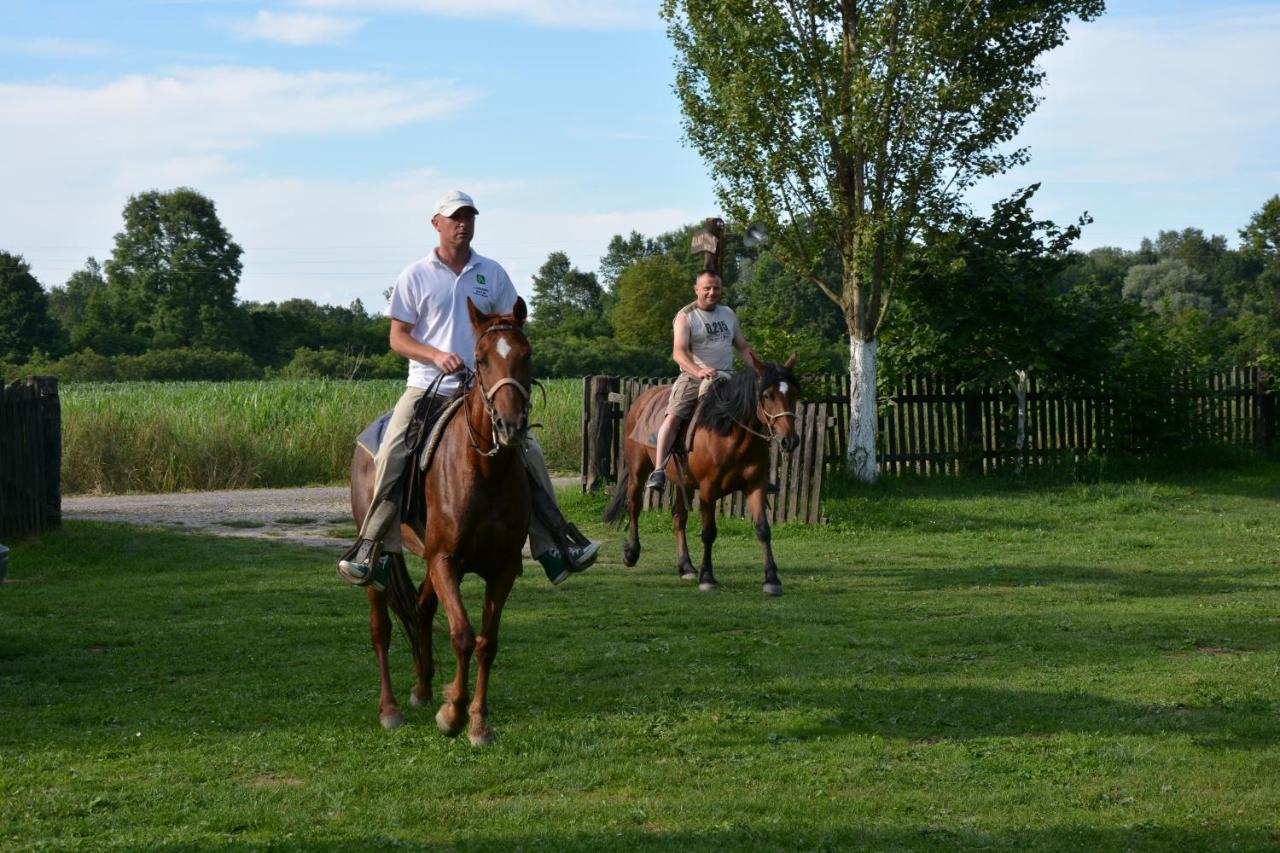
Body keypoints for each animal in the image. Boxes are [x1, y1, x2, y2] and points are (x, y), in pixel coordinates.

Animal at [350, 295, 529, 742]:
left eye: (527, 355)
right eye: (481, 359)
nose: (511, 426)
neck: (485, 473)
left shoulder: (500, 567)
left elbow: (487, 641)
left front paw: (477, 721)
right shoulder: (445, 560)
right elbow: (463, 635)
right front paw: (453, 715)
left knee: (421, 610)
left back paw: (424, 686)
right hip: (382, 560)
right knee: (382, 628)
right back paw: (390, 708)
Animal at [601, 356, 798, 594]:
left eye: (794, 394)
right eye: (767, 395)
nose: (790, 440)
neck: (729, 432)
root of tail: (642, 401)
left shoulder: (755, 486)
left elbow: (763, 529)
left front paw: (772, 579)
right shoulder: (707, 490)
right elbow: (708, 532)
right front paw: (707, 577)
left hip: (682, 481)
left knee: (678, 517)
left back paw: (685, 566)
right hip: (638, 471)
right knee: (634, 506)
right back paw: (631, 552)